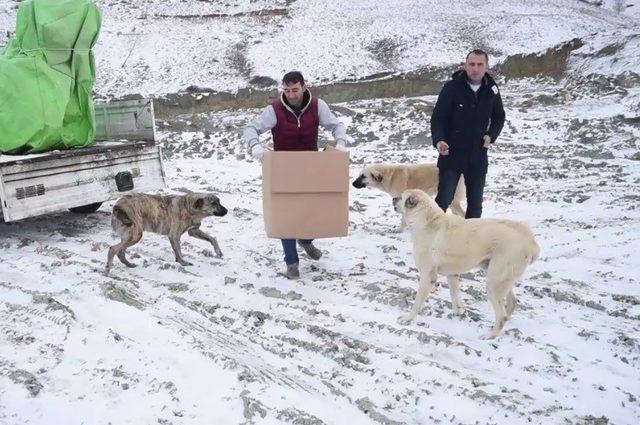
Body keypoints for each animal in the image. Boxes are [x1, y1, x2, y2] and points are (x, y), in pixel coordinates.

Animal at [392, 189, 536, 338]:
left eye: (401, 197)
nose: (393, 199)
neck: (426, 219)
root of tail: (530, 241)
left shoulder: (427, 276)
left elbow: (417, 302)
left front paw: (408, 319)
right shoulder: (452, 275)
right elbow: (455, 296)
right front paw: (459, 312)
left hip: (494, 282)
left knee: (501, 315)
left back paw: (490, 335)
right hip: (502, 279)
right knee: (512, 303)